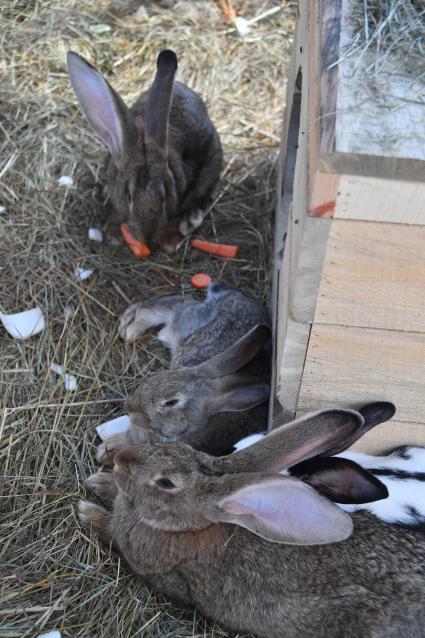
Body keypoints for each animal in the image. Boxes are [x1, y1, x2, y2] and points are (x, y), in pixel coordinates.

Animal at [80, 404, 424, 638]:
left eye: (166, 483)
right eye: (178, 447)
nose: (121, 460)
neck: (191, 525)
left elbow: (111, 533)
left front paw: (87, 510)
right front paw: (100, 481)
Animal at [96, 284, 270, 464]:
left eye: (171, 402)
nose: (128, 407)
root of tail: (236, 296)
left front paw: (106, 450)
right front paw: (105, 450)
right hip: (188, 323)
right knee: (173, 305)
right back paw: (131, 329)